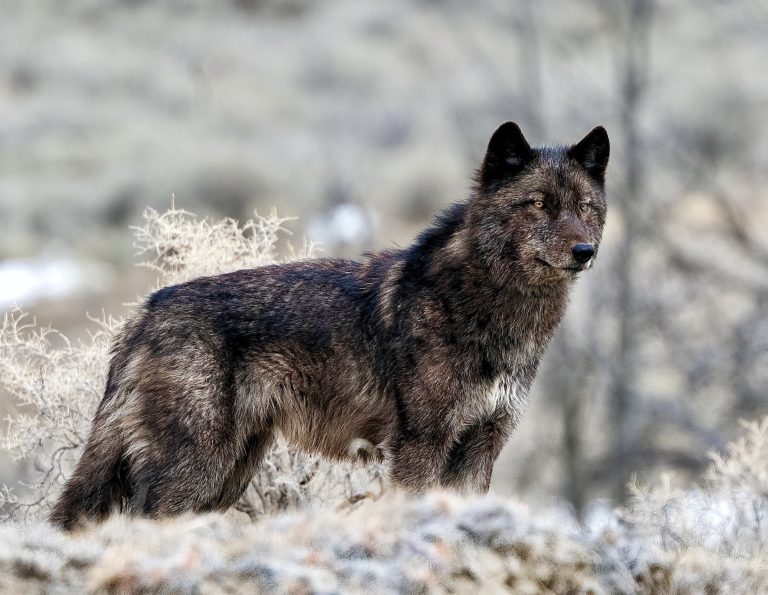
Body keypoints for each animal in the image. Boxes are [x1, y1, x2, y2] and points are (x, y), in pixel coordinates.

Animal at [51, 122, 609, 530]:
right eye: (538, 204)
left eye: (585, 207)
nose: (585, 251)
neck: (490, 308)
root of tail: (146, 311)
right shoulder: (420, 446)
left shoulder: (481, 447)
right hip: (196, 469)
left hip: (227, 476)